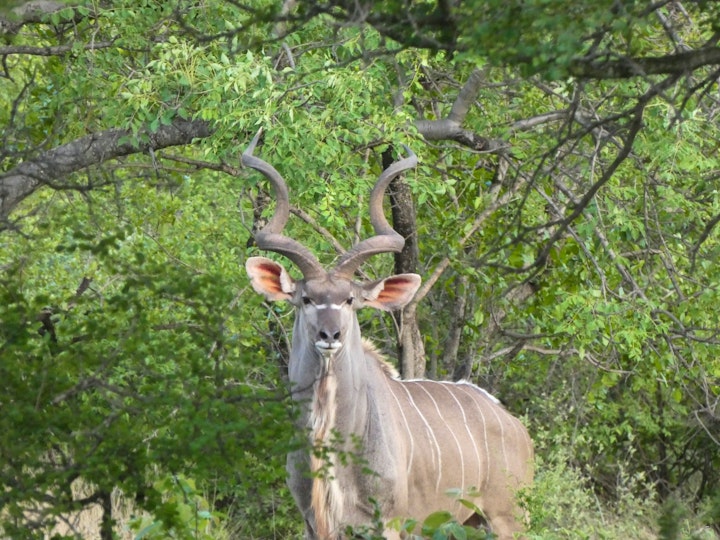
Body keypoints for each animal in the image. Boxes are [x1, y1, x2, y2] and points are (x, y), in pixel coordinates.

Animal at [245, 132, 532, 540]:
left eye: (350, 299)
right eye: (306, 298)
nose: (330, 334)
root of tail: (515, 425)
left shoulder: (389, 523)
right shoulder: (313, 523)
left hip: (508, 518)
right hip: (473, 522)